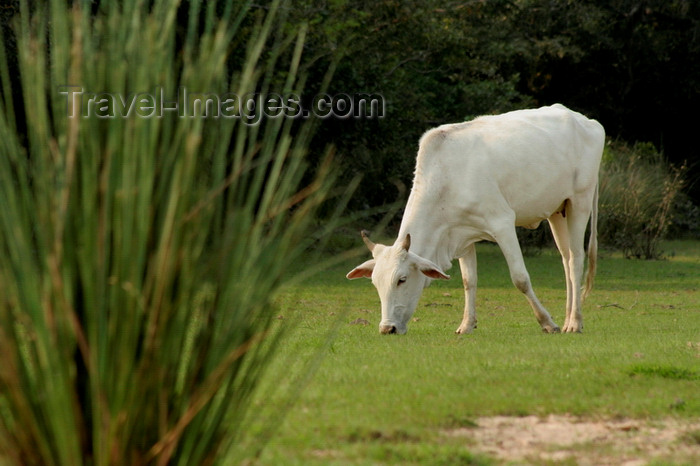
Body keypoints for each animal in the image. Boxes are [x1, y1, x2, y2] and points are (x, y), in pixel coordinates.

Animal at [348, 104, 604, 334]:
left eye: (401, 279)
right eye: (375, 282)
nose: (387, 328)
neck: (447, 179)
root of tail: (588, 121)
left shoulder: (502, 223)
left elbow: (520, 278)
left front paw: (547, 322)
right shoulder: (462, 236)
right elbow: (468, 281)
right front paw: (467, 325)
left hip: (579, 202)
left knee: (576, 260)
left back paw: (574, 322)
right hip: (557, 212)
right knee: (566, 260)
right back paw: (569, 315)